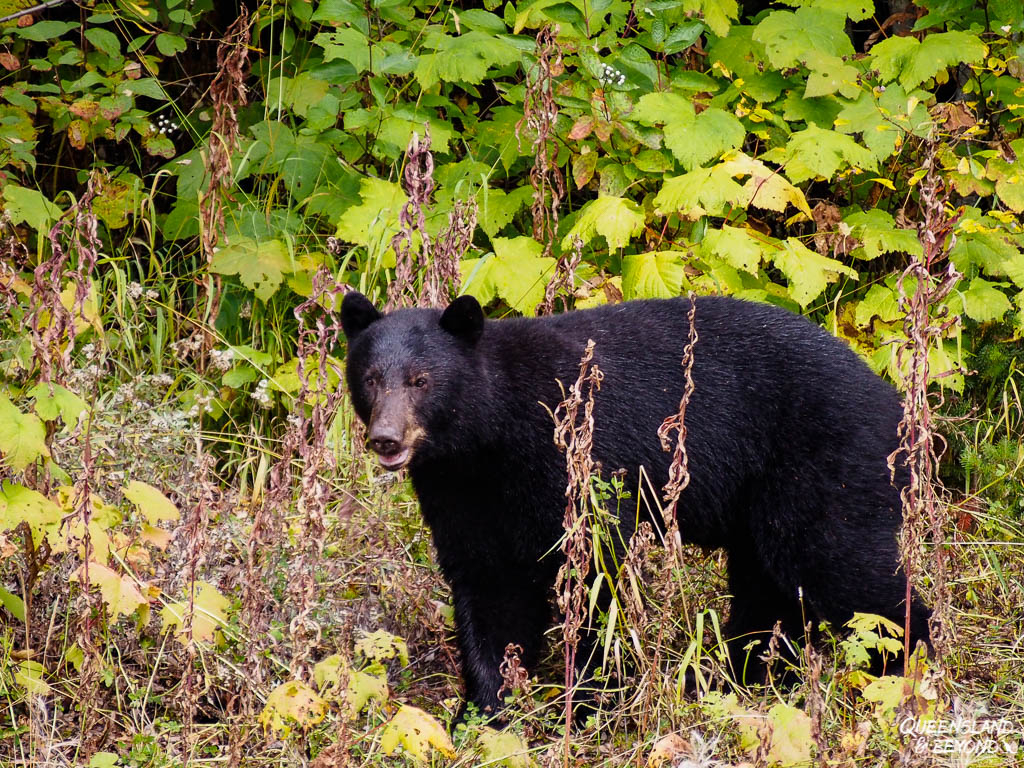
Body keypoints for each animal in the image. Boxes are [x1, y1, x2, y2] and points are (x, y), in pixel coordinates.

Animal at [339, 292, 933, 716]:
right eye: (370, 378)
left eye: (421, 380)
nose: (386, 439)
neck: (488, 439)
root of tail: (897, 407)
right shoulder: (460, 494)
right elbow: (488, 589)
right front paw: (488, 711)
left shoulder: (573, 461)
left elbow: (600, 572)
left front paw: (593, 699)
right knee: (768, 590)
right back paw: (742, 675)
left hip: (822, 469)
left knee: (844, 571)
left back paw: (907, 674)